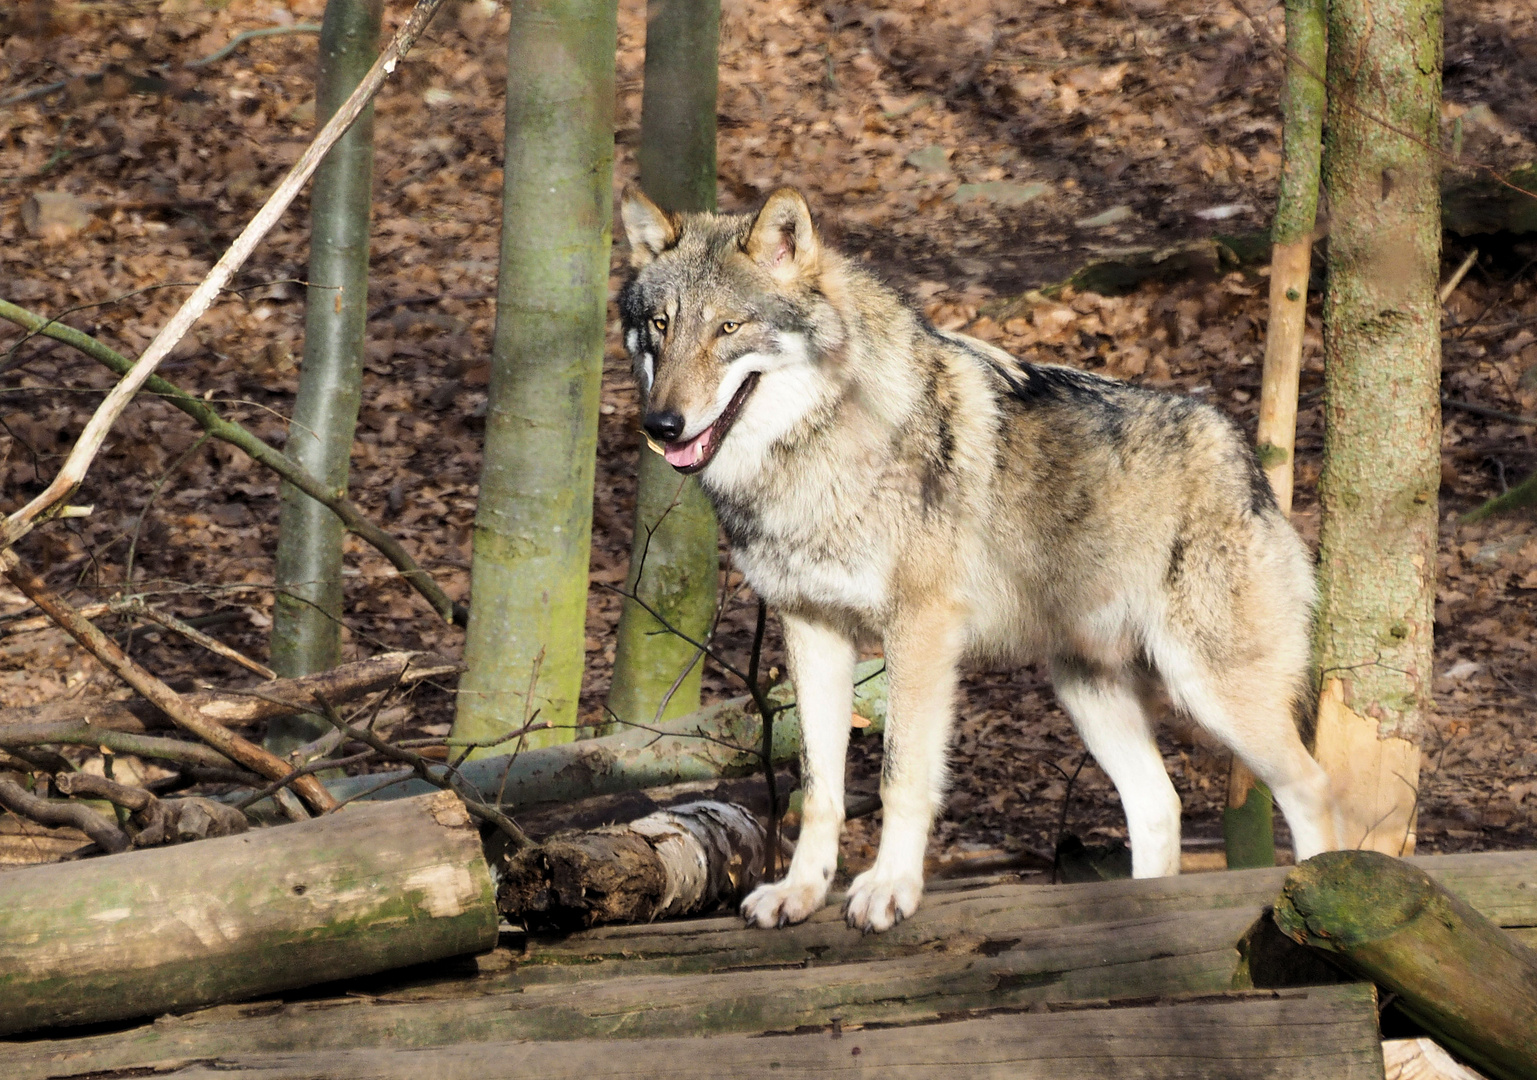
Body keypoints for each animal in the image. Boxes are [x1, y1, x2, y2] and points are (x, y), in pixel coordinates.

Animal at [617, 183, 1340, 927]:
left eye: (729, 328)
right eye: (661, 326)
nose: (661, 426)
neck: (818, 450)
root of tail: (1247, 461)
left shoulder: (919, 631)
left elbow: (901, 775)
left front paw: (889, 888)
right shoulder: (811, 628)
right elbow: (820, 787)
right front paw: (801, 892)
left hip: (1210, 689)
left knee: (1312, 785)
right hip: (1088, 693)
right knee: (1158, 806)